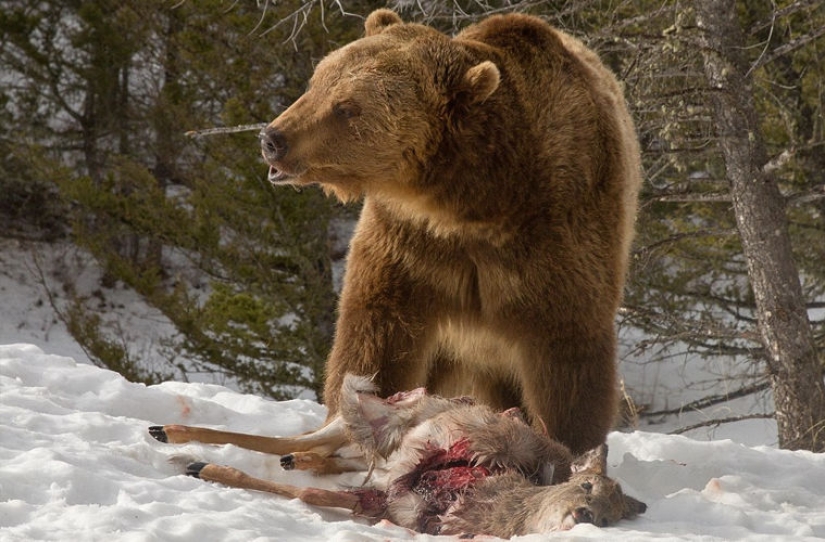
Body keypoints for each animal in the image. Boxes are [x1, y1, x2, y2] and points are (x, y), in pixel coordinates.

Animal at [260, 9, 642, 455]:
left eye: (347, 107)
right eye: (317, 82)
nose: (273, 138)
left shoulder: (556, 235)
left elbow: (569, 348)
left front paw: (570, 443)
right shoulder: (408, 243)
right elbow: (375, 332)